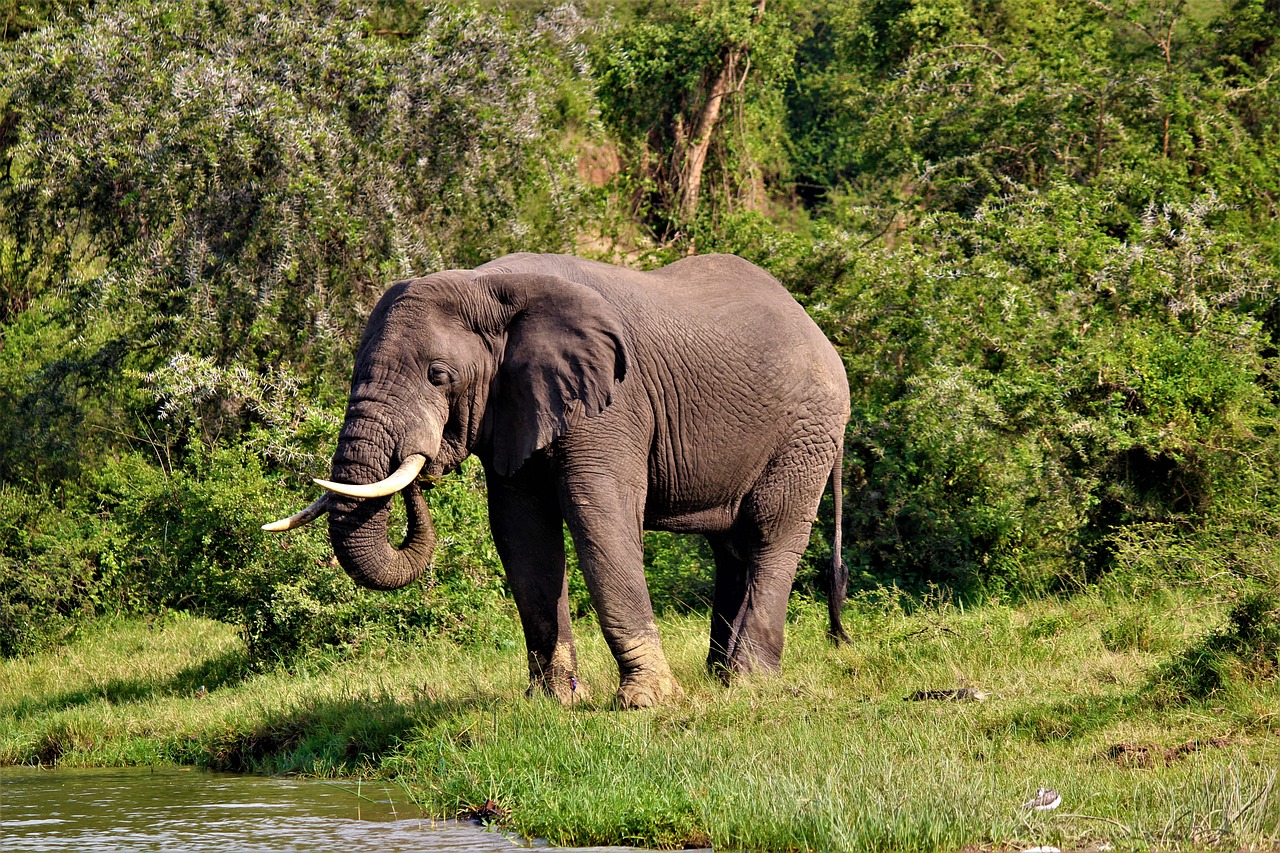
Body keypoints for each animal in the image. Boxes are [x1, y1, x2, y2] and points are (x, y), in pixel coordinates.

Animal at [262, 251, 849, 701]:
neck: (489, 285)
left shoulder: (614, 402)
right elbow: (522, 534)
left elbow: (599, 516)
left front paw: (647, 703)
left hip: (808, 430)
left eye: (438, 376)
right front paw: (554, 702)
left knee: (771, 534)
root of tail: (816, 326)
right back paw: (720, 679)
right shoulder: (514, 405)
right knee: (730, 548)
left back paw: (748, 684)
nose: (421, 473)